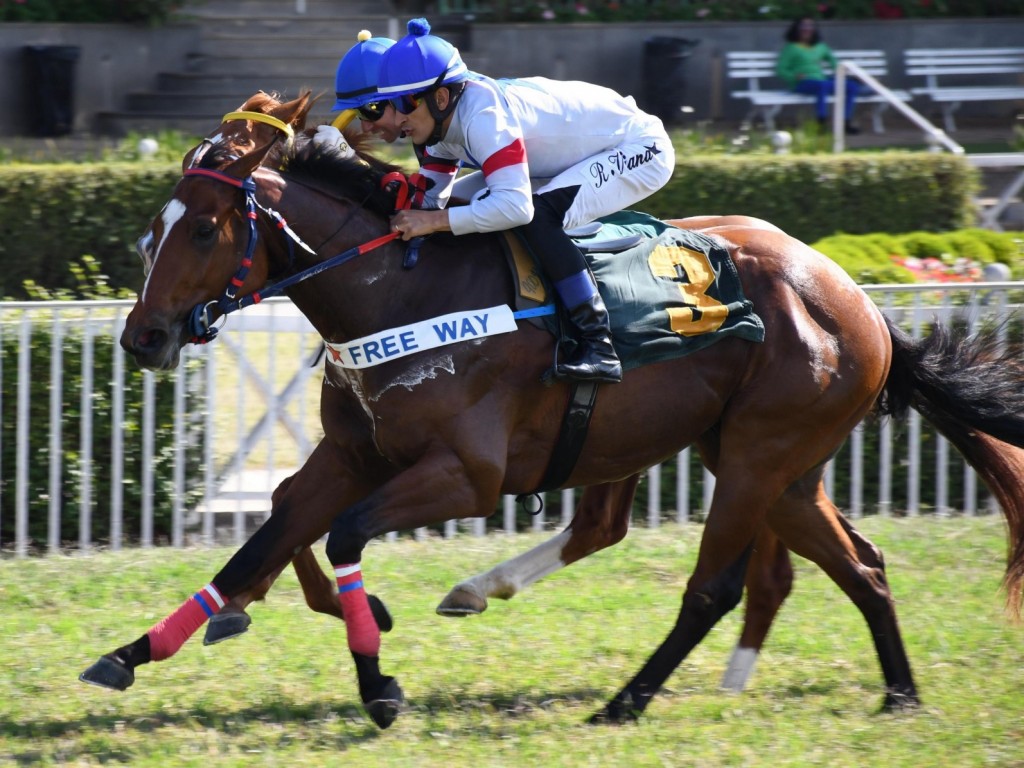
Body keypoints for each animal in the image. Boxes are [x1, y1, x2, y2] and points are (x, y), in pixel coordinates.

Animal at [77, 90, 1024, 729]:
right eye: (153, 229)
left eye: (203, 230)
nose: (142, 337)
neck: (393, 293)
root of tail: (859, 302)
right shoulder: (351, 457)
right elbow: (265, 536)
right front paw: (135, 652)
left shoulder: (465, 475)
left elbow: (341, 535)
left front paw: (378, 683)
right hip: (763, 462)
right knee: (856, 565)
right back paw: (899, 694)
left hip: (761, 452)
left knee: (714, 586)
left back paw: (625, 701)